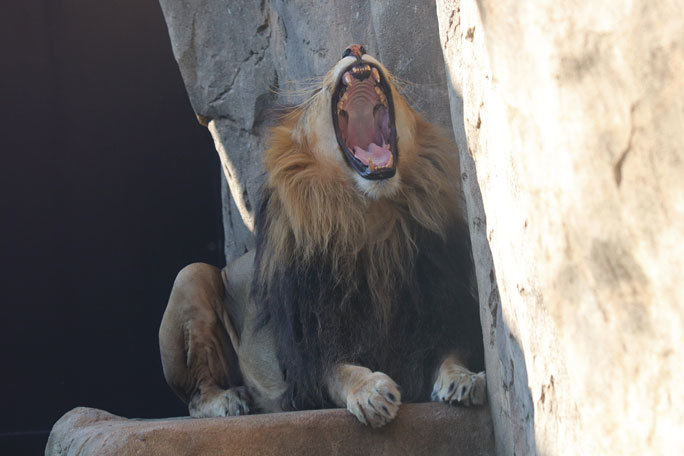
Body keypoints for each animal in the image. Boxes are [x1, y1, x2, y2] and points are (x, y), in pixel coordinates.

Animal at [159, 44, 486, 426]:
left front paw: (464, 379)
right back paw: (229, 400)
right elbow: (340, 371)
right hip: (190, 275)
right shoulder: (307, 359)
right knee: (196, 397)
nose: (355, 48)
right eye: (316, 92)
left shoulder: (443, 311)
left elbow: (452, 354)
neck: (371, 218)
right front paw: (371, 392)